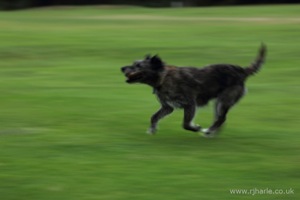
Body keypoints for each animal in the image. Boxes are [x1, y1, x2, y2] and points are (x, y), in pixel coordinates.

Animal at [120, 44, 266, 137]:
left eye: (138, 65)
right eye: (133, 63)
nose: (122, 68)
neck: (163, 77)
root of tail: (242, 71)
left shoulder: (189, 104)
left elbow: (185, 124)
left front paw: (196, 128)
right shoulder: (167, 107)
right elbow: (154, 117)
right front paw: (152, 130)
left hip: (223, 101)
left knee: (221, 119)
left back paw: (209, 131)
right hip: (218, 103)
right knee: (221, 119)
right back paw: (212, 133)